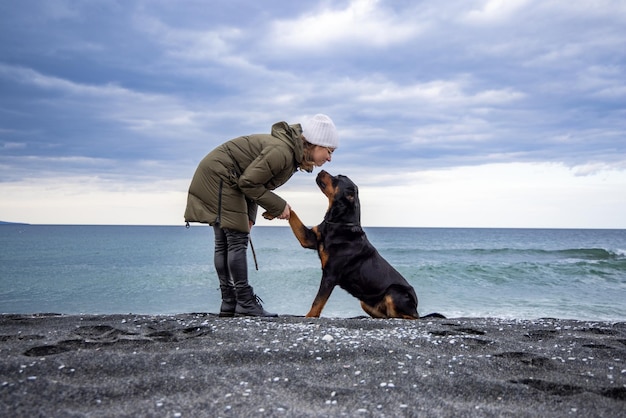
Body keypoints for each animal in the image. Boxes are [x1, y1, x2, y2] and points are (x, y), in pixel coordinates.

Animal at [266, 171, 422, 318]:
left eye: (337, 178)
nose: (321, 170)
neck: (338, 223)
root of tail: (415, 304)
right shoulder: (308, 239)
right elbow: (293, 214)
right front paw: (273, 212)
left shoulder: (330, 275)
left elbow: (317, 301)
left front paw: (309, 317)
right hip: (366, 303)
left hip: (394, 292)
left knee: (410, 316)